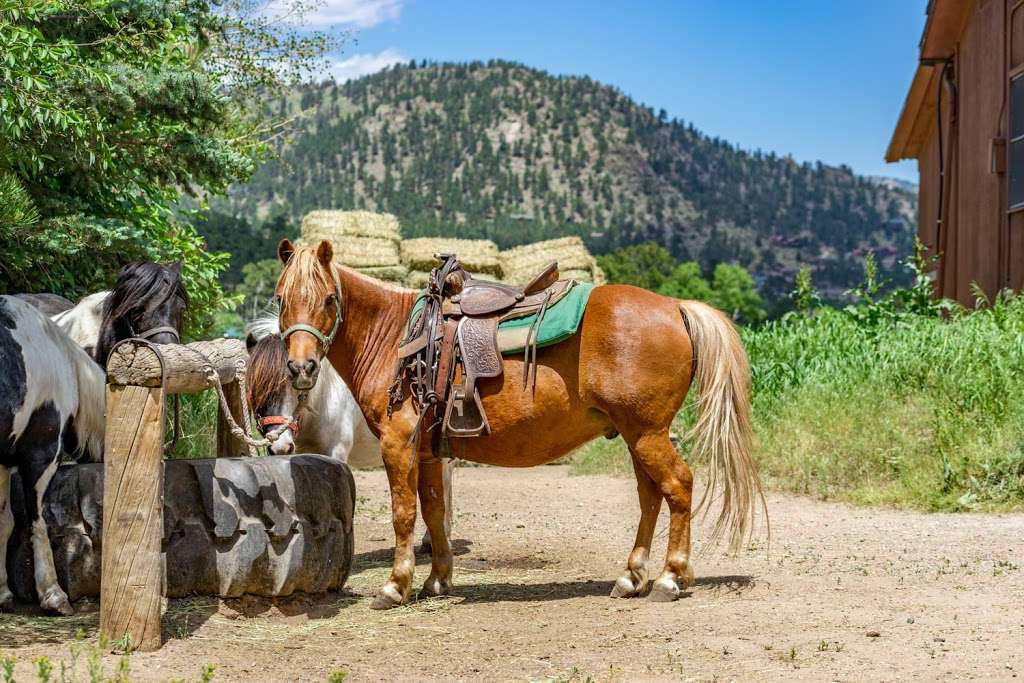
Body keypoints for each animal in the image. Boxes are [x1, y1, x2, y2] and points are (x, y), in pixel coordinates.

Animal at [276, 239, 765, 610]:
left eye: (328, 299)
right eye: (281, 300)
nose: (300, 367)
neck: (396, 337)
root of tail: (676, 307)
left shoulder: (399, 446)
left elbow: (404, 514)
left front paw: (395, 586)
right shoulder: (430, 452)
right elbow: (434, 512)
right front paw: (438, 581)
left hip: (647, 433)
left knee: (678, 487)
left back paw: (670, 577)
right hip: (637, 436)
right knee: (651, 497)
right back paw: (632, 577)